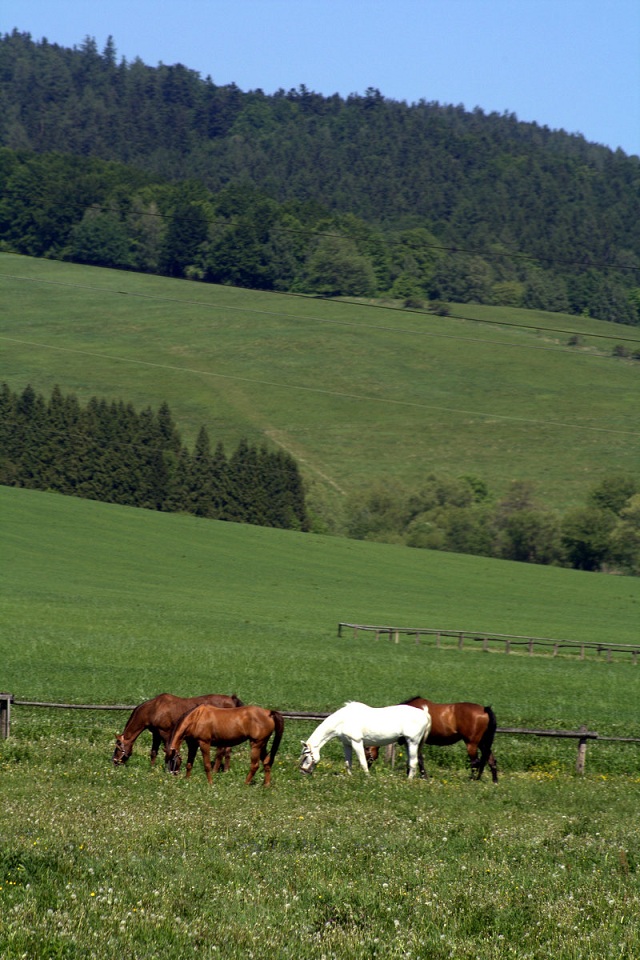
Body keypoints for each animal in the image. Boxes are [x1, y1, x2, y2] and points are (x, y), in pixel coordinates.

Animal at [112, 692, 242, 768]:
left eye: (118, 747)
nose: (114, 761)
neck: (154, 708)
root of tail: (232, 699)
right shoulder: (156, 734)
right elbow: (153, 752)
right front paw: (152, 768)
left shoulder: (165, 733)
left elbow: (168, 749)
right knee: (227, 750)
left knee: (222, 751)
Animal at [298, 704, 430, 780]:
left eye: (306, 755)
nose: (302, 772)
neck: (343, 720)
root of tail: (425, 713)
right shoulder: (347, 744)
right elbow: (348, 763)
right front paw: (350, 777)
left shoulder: (357, 742)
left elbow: (363, 762)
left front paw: (368, 778)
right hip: (408, 743)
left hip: (413, 742)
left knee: (413, 762)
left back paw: (409, 781)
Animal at [368, 692, 498, 784]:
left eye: (366, 750)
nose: (367, 768)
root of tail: (484, 709)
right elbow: (413, 759)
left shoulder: (414, 741)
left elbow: (418, 759)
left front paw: (422, 776)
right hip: (482, 743)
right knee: (491, 760)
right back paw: (494, 781)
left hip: (471, 743)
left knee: (475, 762)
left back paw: (471, 780)